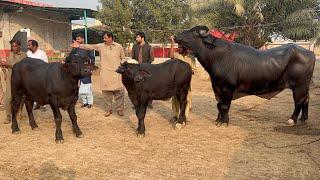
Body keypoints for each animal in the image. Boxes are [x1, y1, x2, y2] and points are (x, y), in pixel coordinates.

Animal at [175, 25, 316, 126]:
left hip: (299, 86)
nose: (176, 36)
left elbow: (225, 105)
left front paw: (224, 122)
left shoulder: (227, 88)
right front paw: (218, 120)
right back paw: (304, 119)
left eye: (193, 32)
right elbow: (219, 105)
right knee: (306, 99)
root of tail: (309, 52)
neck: (217, 56)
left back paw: (292, 120)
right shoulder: (217, 87)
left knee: (299, 101)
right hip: (304, 87)